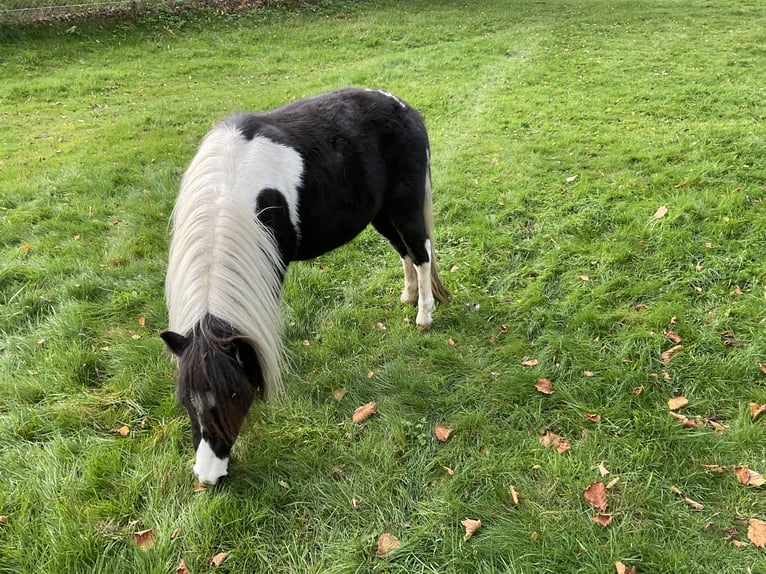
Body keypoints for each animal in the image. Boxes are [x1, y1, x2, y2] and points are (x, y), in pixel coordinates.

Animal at [161, 88, 451, 484]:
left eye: (235, 396)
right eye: (184, 400)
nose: (209, 477)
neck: (231, 187)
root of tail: (402, 106)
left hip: (404, 206)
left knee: (421, 253)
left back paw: (424, 315)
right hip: (380, 214)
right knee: (404, 250)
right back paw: (408, 296)